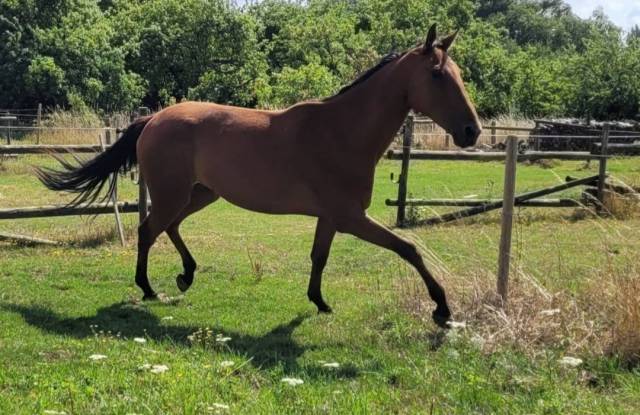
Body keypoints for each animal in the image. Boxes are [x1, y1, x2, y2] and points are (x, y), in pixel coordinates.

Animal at [38, 24, 481, 328]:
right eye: (438, 74)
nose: (471, 131)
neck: (343, 131)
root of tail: (153, 119)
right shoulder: (351, 217)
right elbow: (409, 248)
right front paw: (442, 308)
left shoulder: (331, 218)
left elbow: (319, 257)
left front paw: (319, 301)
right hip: (173, 194)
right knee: (149, 230)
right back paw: (149, 288)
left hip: (200, 193)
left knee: (170, 227)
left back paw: (186, 275)